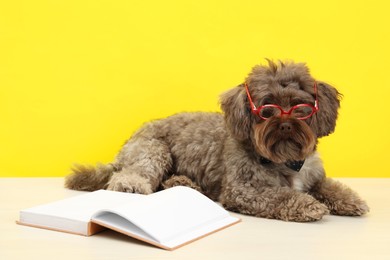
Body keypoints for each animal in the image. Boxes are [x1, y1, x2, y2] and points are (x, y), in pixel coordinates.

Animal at [65, 60, 370, 221]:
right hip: (153, 151)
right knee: (127, 177)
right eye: (267, 109)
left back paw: (183, 183)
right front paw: (308, 205)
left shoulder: (315, 177)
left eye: (300, 107)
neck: (284, 160)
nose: (284, 124)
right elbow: (282, 195)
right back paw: (133, 185)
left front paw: (351, 200)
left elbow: (330, 187)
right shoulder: (244, 190)